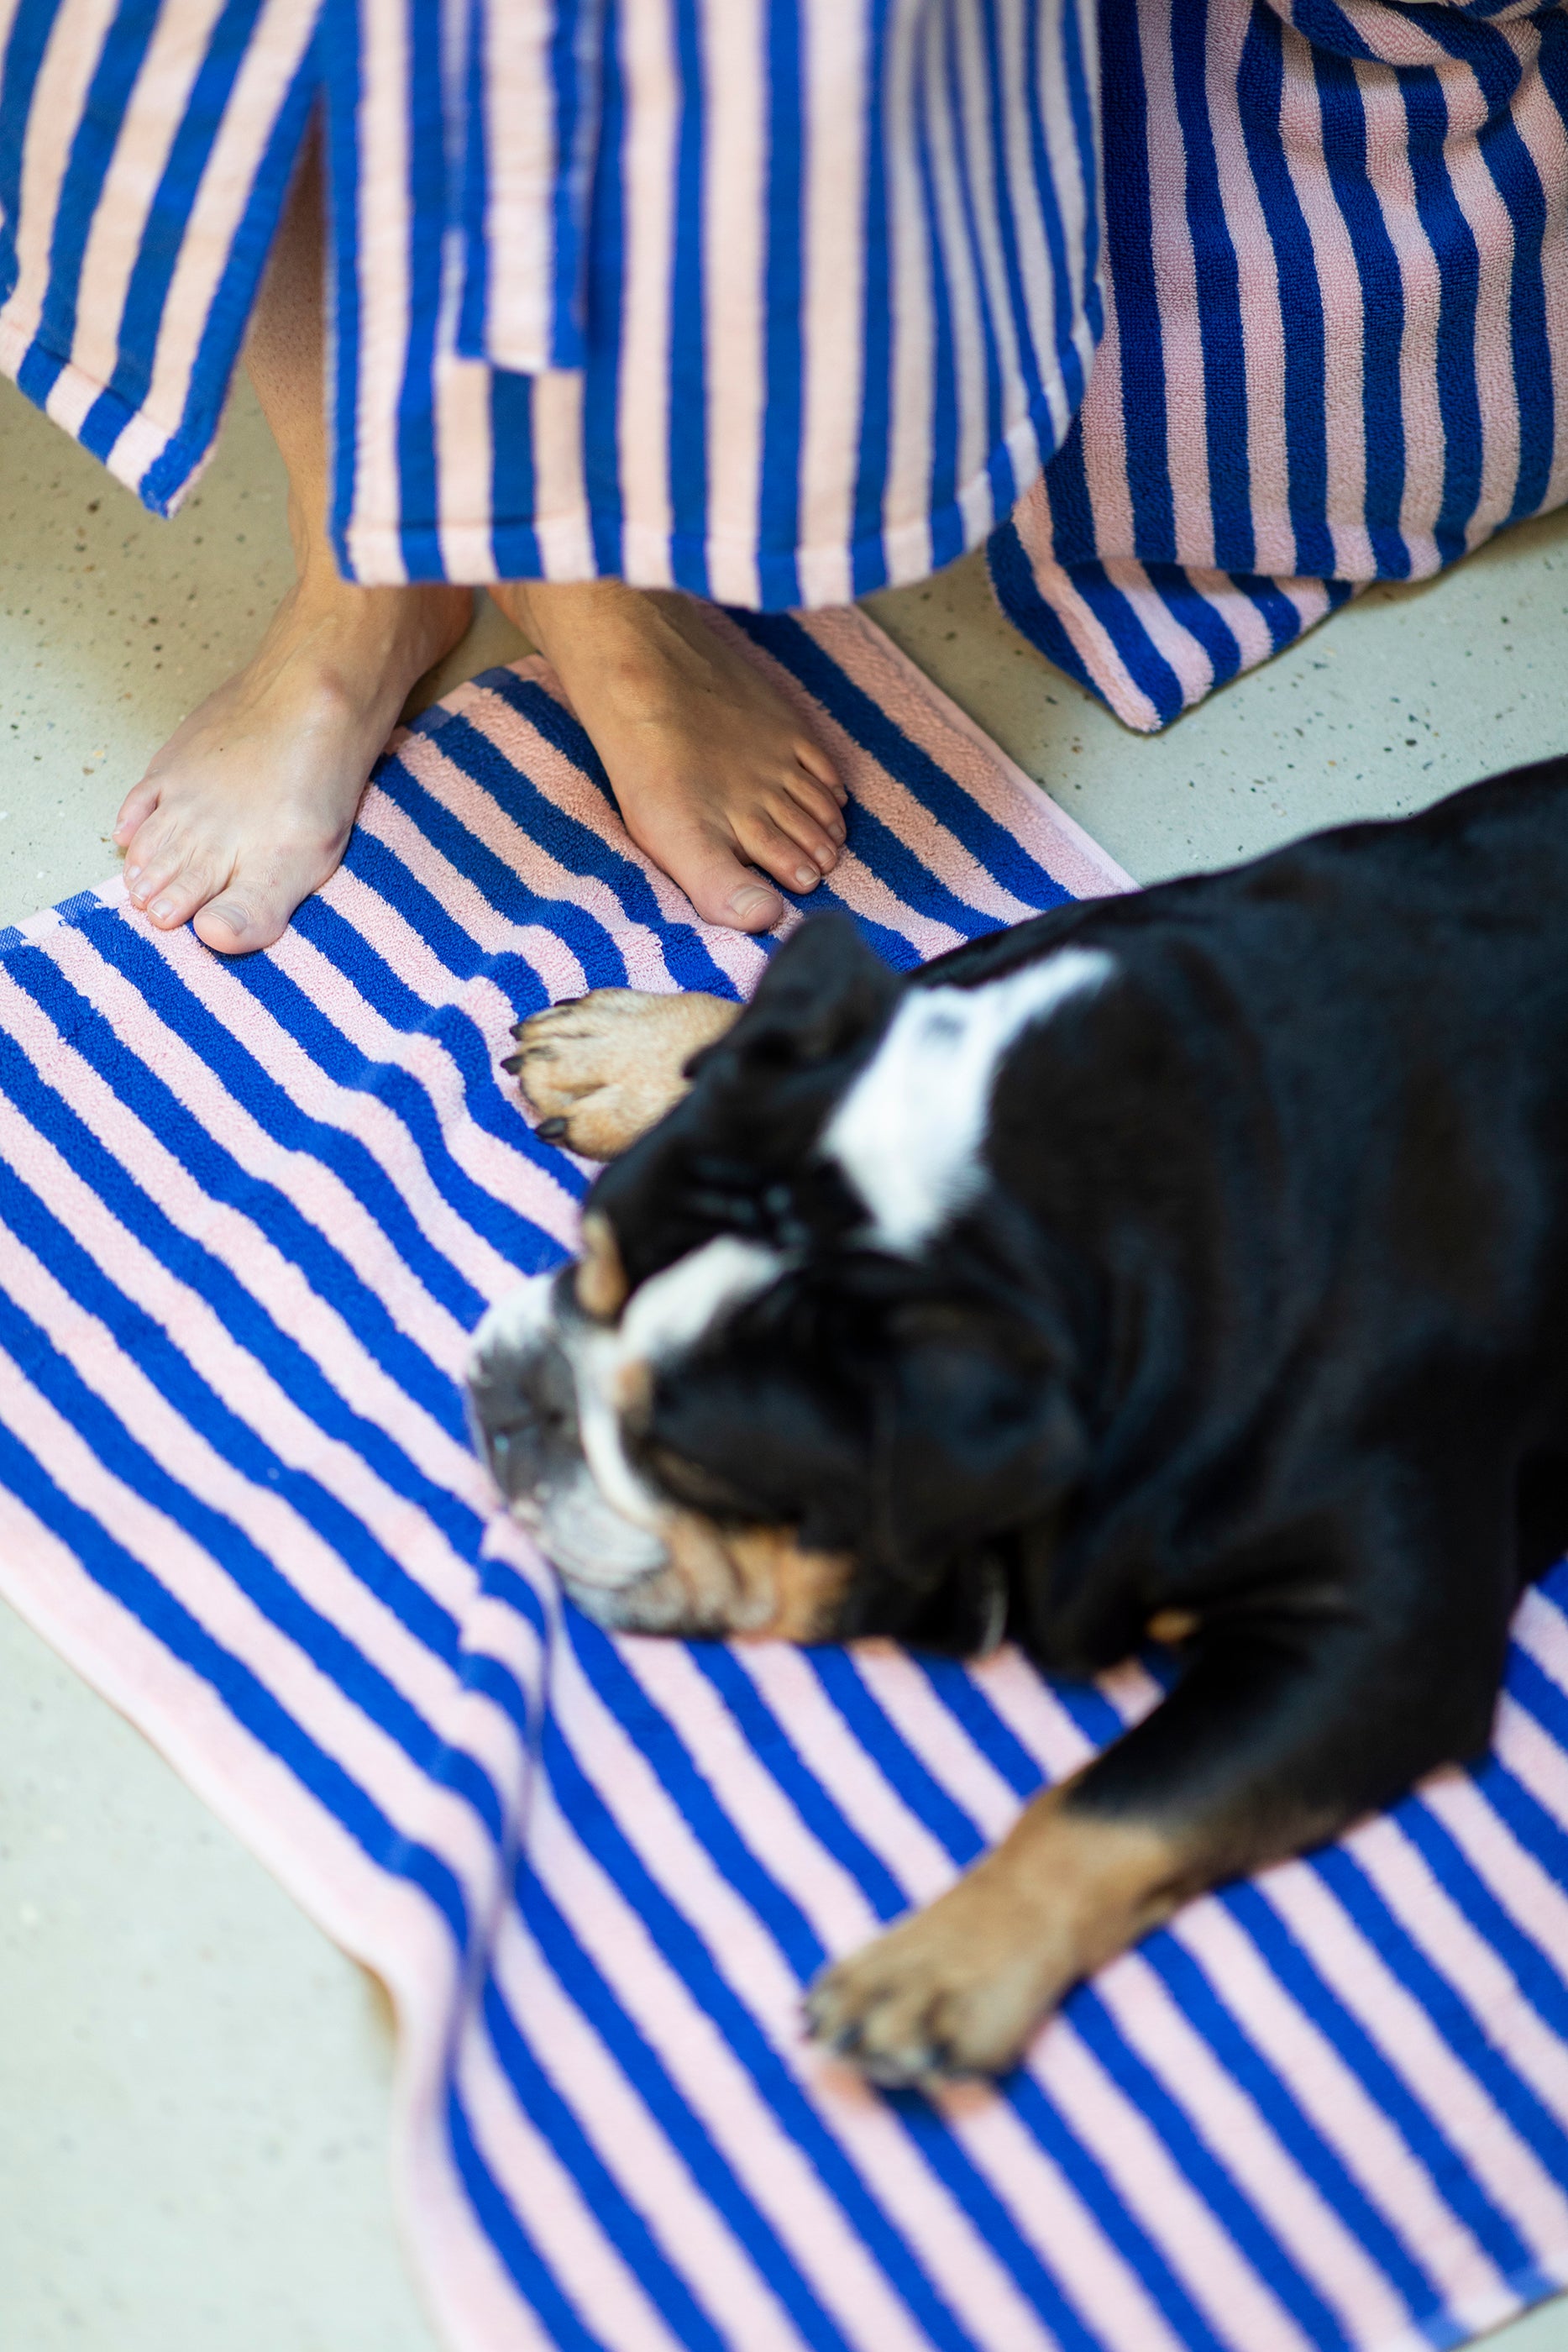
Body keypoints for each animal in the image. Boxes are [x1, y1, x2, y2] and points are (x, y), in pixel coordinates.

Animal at [465, 762, 1568, 2088]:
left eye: (694, 1470)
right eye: (584, 1256)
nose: (526, 1400)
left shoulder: (1383, 1635)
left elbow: (1124, 1800)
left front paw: (936, 1966)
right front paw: (647, 1053)